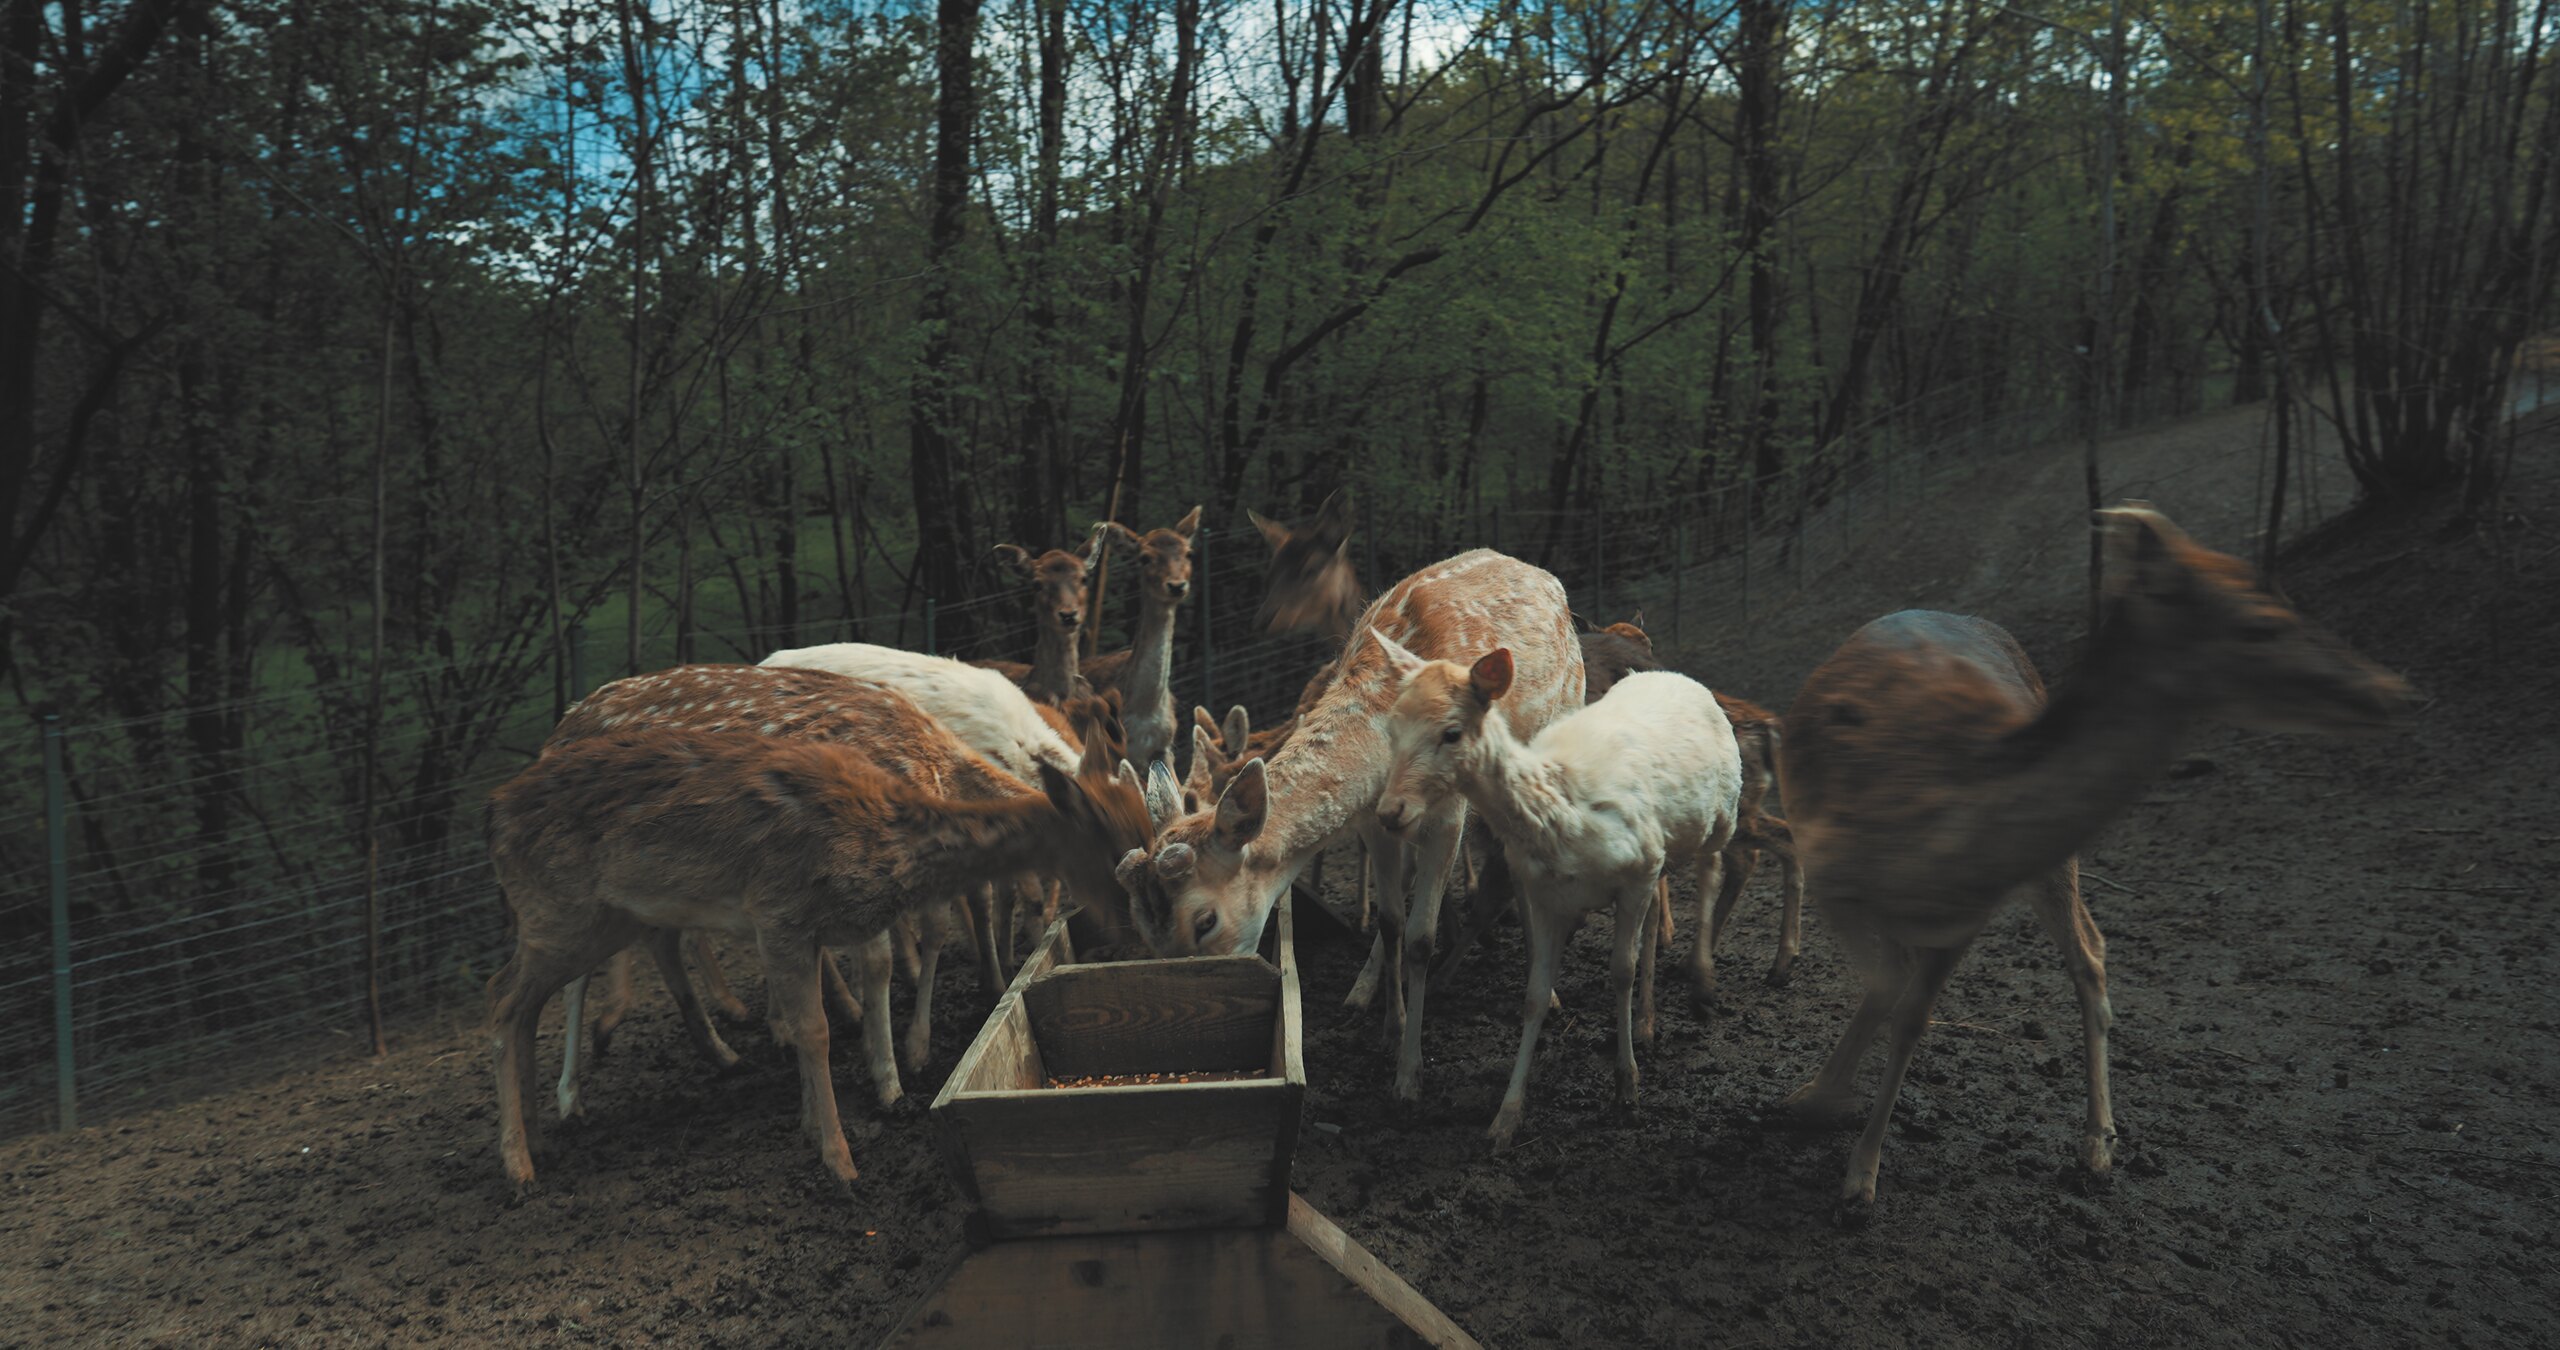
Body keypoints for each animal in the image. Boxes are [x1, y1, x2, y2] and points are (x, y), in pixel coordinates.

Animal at [485, 723, 1156, 1190]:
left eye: (1150, 831)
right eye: (1114, 849)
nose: (1136, 935)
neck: (888, 840)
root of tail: (495, 815)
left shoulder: (807, 931)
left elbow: (820, 1023)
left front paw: (813, 1127)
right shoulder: (777, 912)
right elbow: (816, 1031)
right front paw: (840, 1162)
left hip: (604, 918)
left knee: (527, 1004)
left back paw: (540, 1140)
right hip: (556, 908)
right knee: (504, 1002)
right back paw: (518, 1167)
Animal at [1125, 549, 1584, 1103]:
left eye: (1205, 920)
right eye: (1143, 931)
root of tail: (1547, 579)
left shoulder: (1448, 814)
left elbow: (1421, 938)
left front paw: (1408, 1077)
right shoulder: (1373, 822)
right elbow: (1390, 921)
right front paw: (1390, 1027)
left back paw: (1550, 991)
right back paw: (1361, 992)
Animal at [1372, 642, 1742, 1149]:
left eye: (1451, 732)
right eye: (1391, 727)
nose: (1390, 811)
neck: (1562, 813)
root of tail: (1679, 677)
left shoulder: (1638, 868)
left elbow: (1620, 972)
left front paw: (1627, 1091)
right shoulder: (1548, 894)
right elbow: (1534, 995)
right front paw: (1504, 1121)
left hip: (1723, 813)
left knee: (1711, 867)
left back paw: (1701, 982)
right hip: (1665, 849)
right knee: (1659, 910)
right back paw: (1648, 1022)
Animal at [1774, 504, 2416, 1222]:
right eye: (2261, 623)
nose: (2397, 693)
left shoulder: (1968, 914)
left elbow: (1910, 1014)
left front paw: (1856, 1170)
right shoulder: (1835, 873)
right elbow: (1889, 990)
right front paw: (1817, 1102)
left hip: (2055, 866)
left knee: (2090, 947)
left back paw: (2099, 1143)